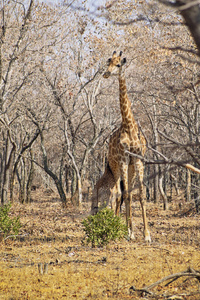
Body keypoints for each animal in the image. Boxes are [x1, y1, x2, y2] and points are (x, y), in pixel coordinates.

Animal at [102, 49, 151, 241]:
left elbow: (140, 194)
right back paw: (117, 227)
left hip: (129, 169)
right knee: (117, 193)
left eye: (118, 64)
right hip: (115, 167)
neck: (129, 126)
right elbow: (126, 195)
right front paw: (130, 233)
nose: (106, 73)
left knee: (125, 192)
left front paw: (146, 234)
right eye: (108, 62)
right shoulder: (123, 160)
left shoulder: (138, 160)